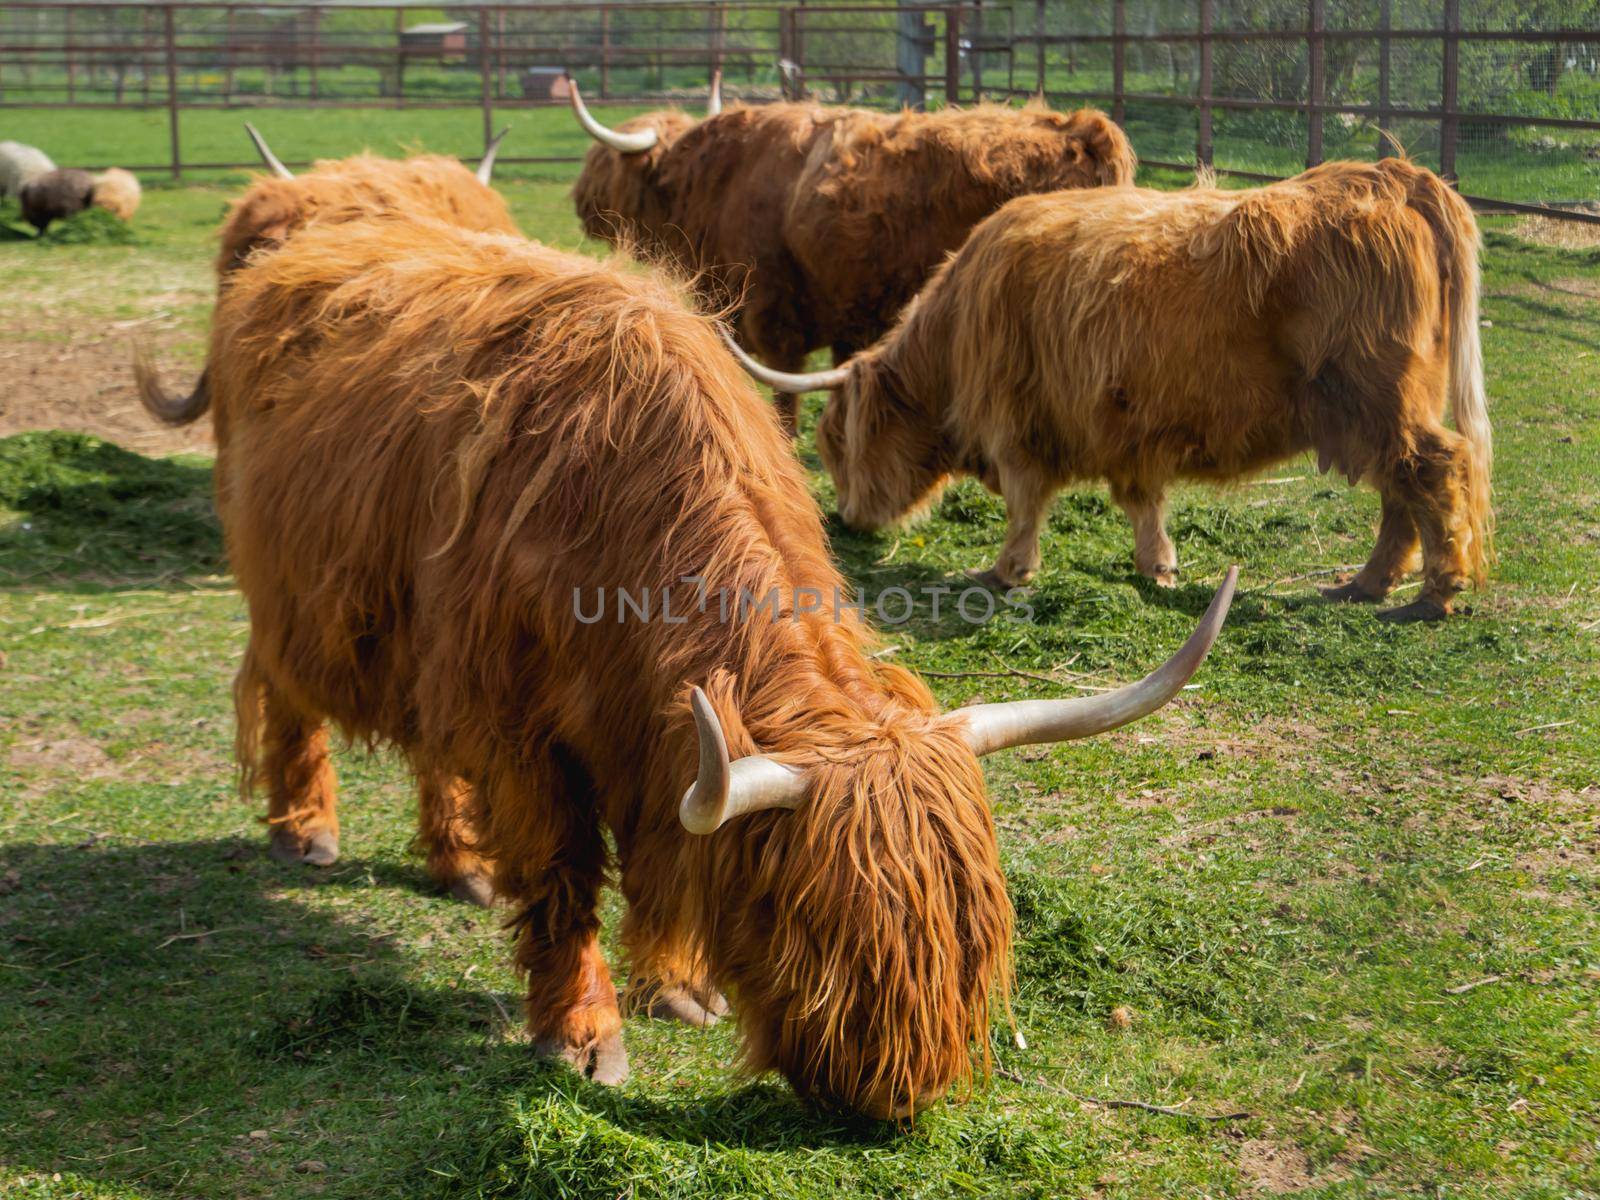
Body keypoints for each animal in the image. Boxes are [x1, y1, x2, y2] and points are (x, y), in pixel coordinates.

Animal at [187, 214, 1235, 1120]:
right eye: (819, 926)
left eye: (975, 931)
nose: (900, 1098)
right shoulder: (523, 733)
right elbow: (564, 878)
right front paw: (581, 1035)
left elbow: (671, 860)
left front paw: (683, 987)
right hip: (287, 586)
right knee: (282, 692)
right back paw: (306, 830)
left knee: (429, 744)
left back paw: (461, 865)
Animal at [569, 85, 1132, 422]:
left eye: (603, 161)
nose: (578, 201)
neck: (716, 181)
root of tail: (1086, 131)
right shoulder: (846, 316)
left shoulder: (773, 313)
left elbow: (785, 397)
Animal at [732, 160, 1491, 624]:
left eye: (835, 442)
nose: (845, 521)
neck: (954, 335)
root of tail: (1393, 175)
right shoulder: (1131, 431)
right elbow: (1141, 503)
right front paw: (1158, 567)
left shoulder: (1017, 425)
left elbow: (1026, 504)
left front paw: (1005, 572)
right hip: (1382, 408)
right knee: (1401, 491)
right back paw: (1366, 584)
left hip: (1377, 399)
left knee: (1433, 471)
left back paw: (1434, 593)